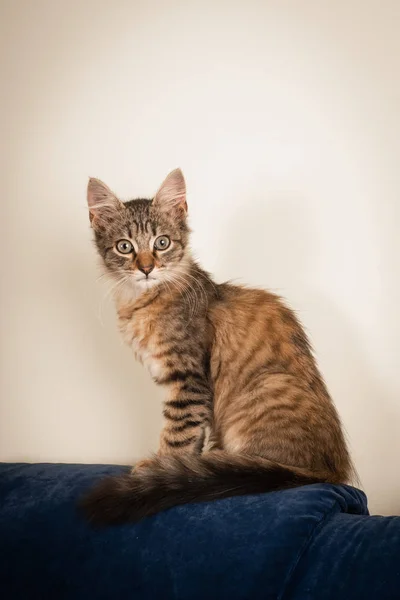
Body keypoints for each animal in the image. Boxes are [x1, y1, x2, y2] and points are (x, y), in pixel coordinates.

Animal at [80, 169, 354, 524]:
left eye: (162, 243)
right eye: (124, 247)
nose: (146, 268)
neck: (141, 300)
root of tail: (331, 472)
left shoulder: (189, 381)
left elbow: (177, 435)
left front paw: (160, 468)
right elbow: (190, 437)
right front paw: (177, 467)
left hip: (264, 388)